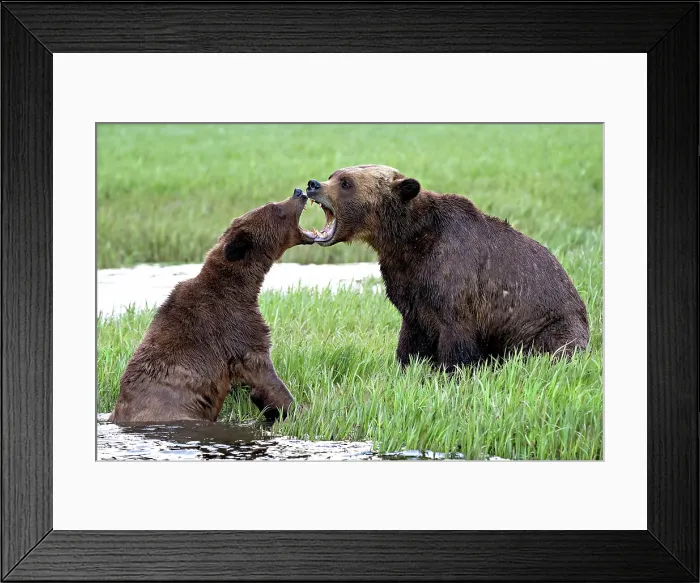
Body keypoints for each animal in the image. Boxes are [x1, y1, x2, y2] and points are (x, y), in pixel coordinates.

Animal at [109, 188, 313, 423]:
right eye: (275, 208)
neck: (241, 286)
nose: (299, 191)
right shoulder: (235, 328)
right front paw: (298, 408)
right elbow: (263, 372)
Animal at [305, 165, 590, 371]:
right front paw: (407, 368)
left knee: (554, 348)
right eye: (333, 175)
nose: (313, 184)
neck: (405, 239)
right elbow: (411, 336)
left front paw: (451, 372)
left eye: (346, 183)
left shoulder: (453, 277)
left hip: (550, 322)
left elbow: (456, 335)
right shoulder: (407, 282)